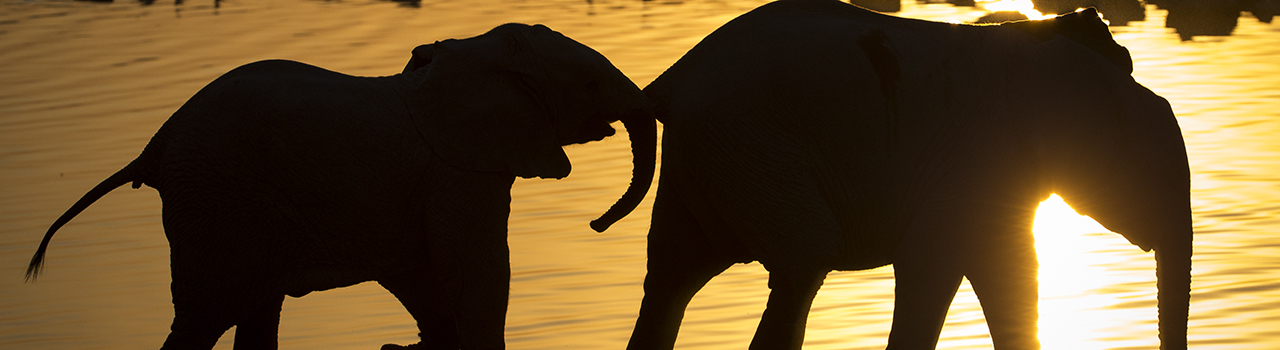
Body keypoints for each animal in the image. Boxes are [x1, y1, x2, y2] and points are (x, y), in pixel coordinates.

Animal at [24, 23, 655, 348]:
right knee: (208, 312)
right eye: (591, 84)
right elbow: (475, 271)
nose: (596, 223)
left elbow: (420, 276)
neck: (474, 52)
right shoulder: (455, 171)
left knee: (254, 308)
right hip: (215, 196)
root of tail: (154, 146)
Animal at [624, 1, 1192, 346]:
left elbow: (1007, 273)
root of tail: (669, 81)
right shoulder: (976, 162)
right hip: (751, 150)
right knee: (803, 263)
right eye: (1160, 180)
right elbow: (937, 265)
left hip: (711, 160)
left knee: (671, 278)